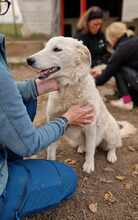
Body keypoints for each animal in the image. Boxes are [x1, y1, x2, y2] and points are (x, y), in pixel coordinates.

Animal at [27, 36, 122, 174]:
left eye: (57, 49)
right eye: (45, 47)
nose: (28, 60)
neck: (68, 87)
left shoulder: (90, 126)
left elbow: (91, 151)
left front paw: (89, 165)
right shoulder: (54, 122)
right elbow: (51, 150)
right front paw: (51, 163)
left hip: (110, 133)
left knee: (112, 146)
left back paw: (111, 155)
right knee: (87, 145)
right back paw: (82, 148)